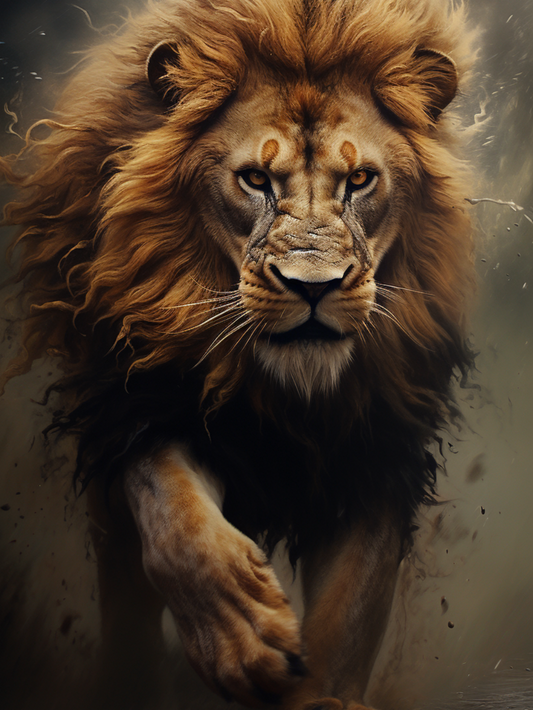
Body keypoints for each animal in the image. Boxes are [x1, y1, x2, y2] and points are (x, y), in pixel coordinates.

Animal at [0, 0, 475, 707]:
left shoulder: (375, 448)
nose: (314, 287)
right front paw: (243, 638)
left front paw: (321, 688)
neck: (289, 396)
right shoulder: (141, 403)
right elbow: (178, 519)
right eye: (255, 179)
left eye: (361, 180)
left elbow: (349, 611)